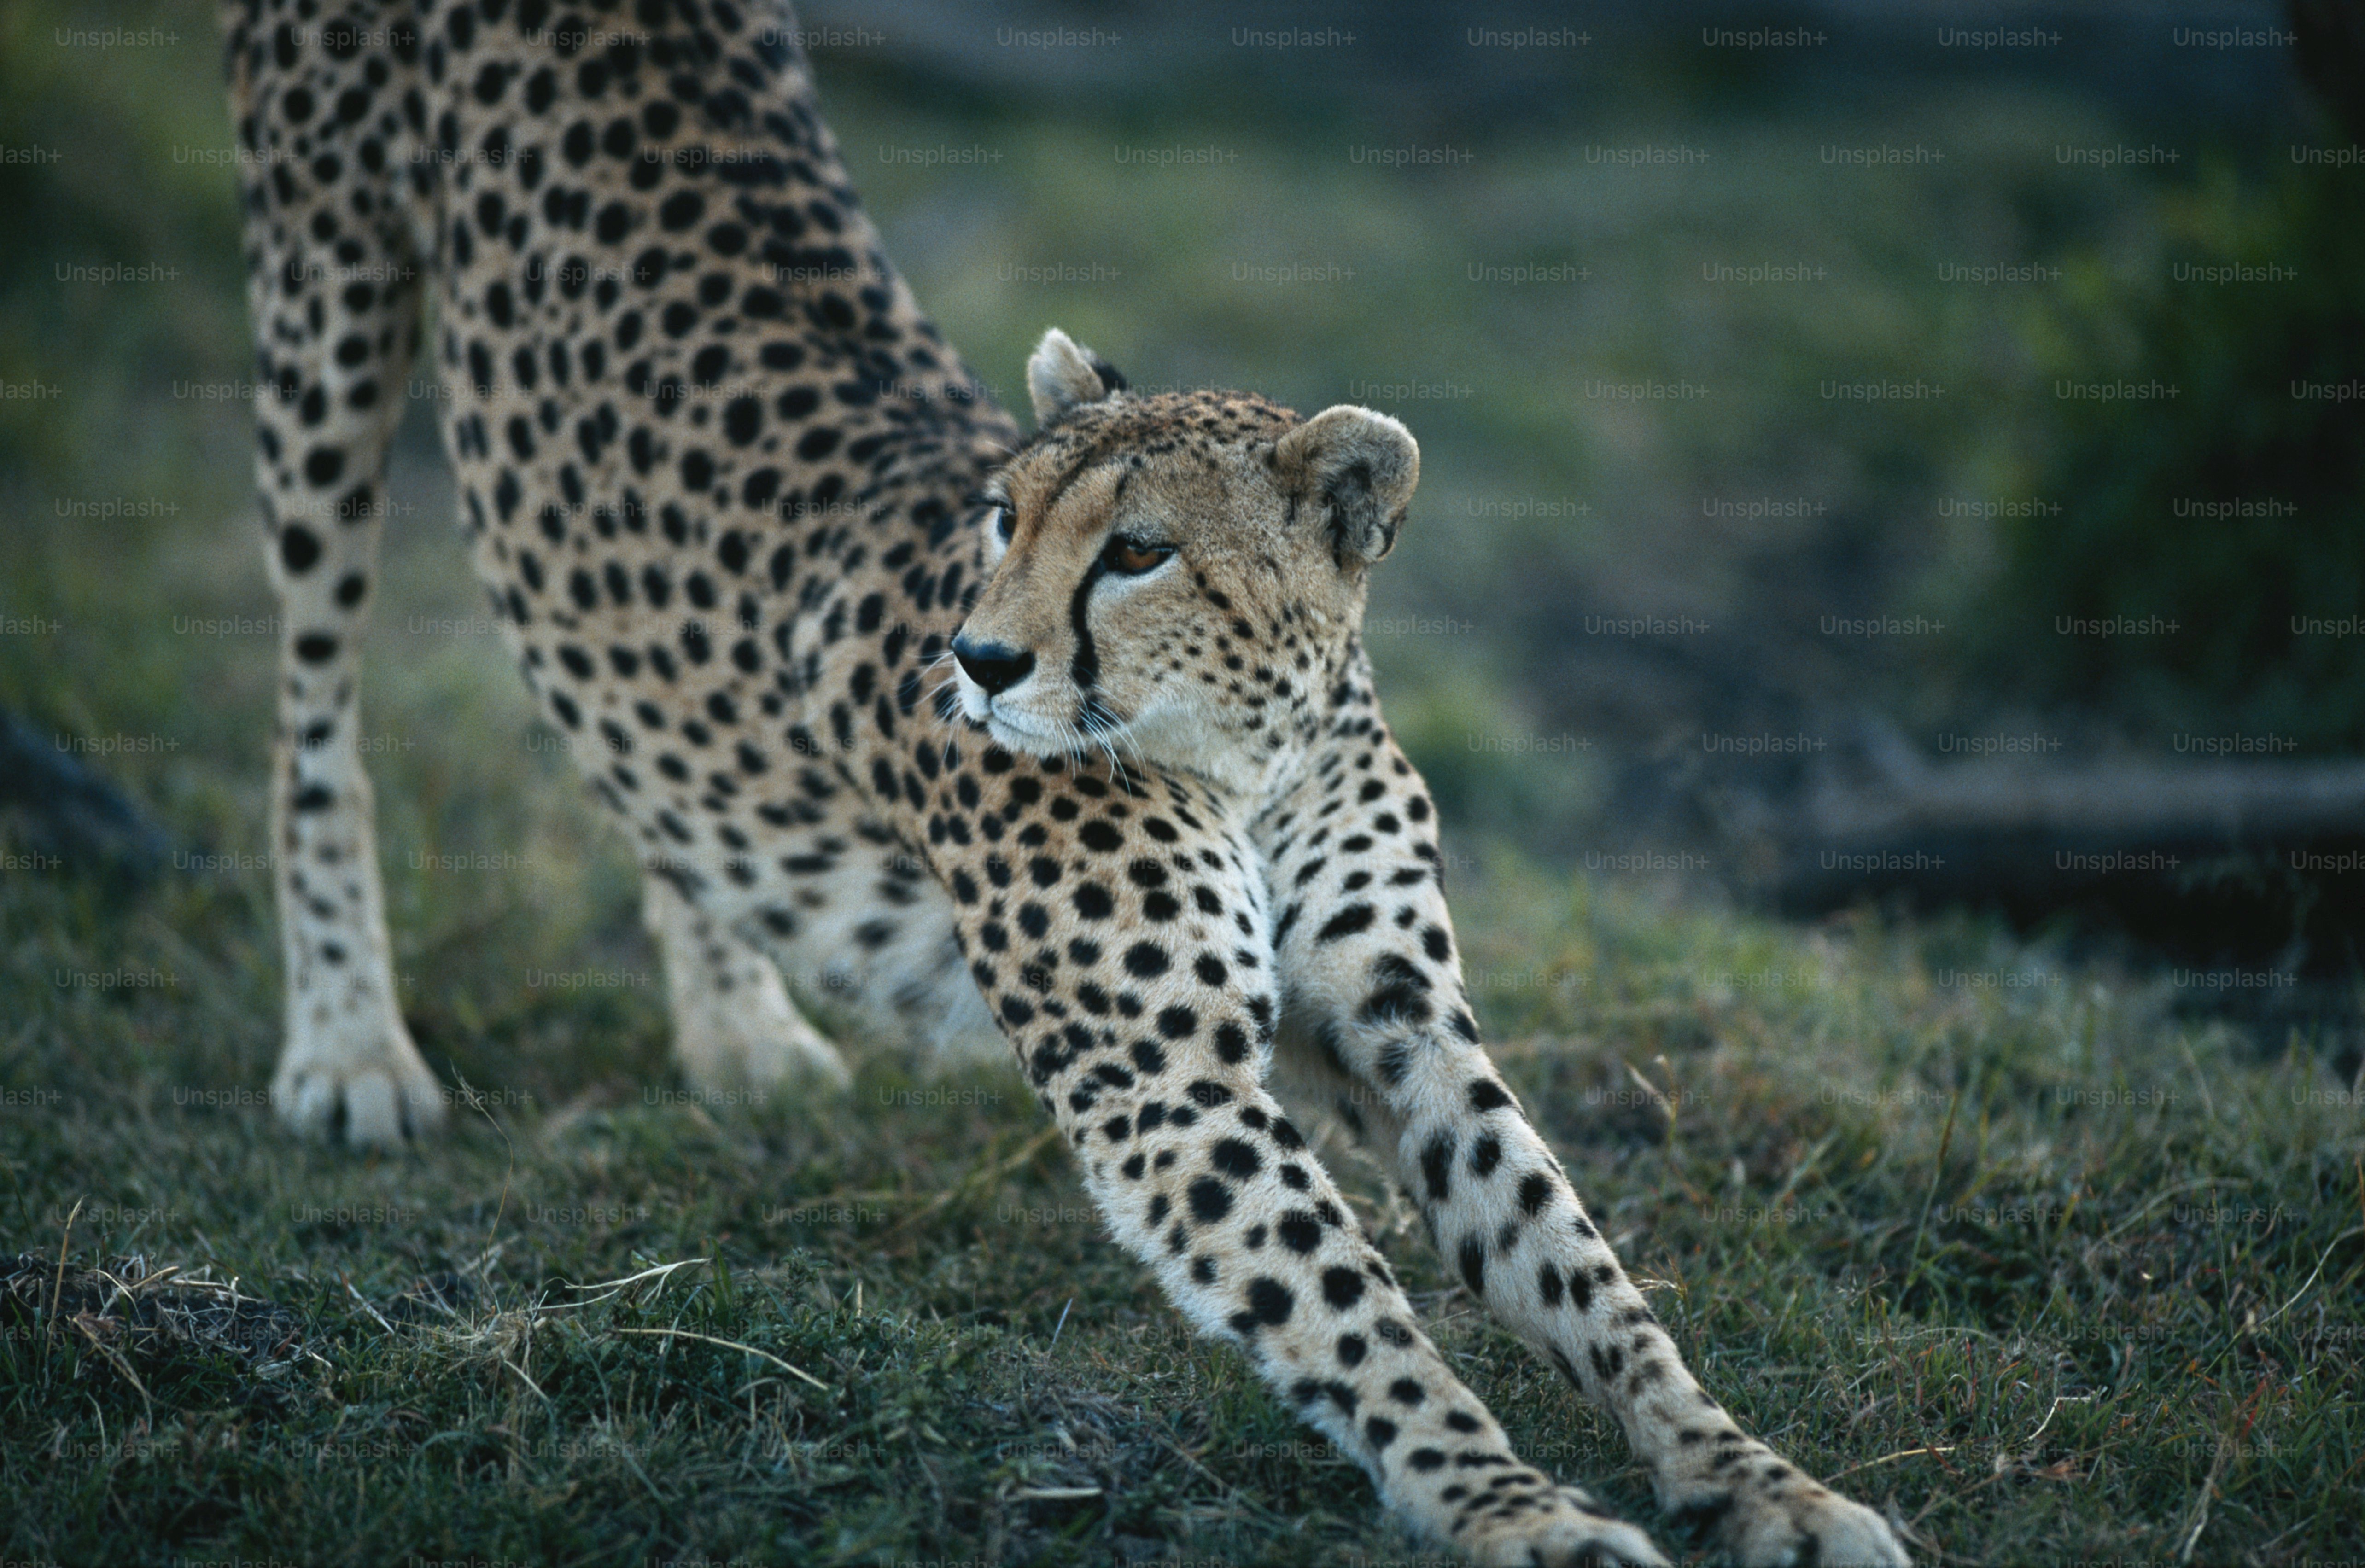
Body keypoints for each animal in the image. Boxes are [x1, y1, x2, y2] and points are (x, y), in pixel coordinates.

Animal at [216, 0, 1913, 1561]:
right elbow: (1355, 1311)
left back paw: (736, 1022)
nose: (974, 660)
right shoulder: (1164, 1079)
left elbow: (1576, 1265)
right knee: (308, 710)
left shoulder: (1397, 1023)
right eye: (1002, 514)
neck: (1248, 752)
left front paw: (1765, 1483)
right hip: (328, 312)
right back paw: (349, 1047)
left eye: (1137, 550)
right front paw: (1513, 1510)